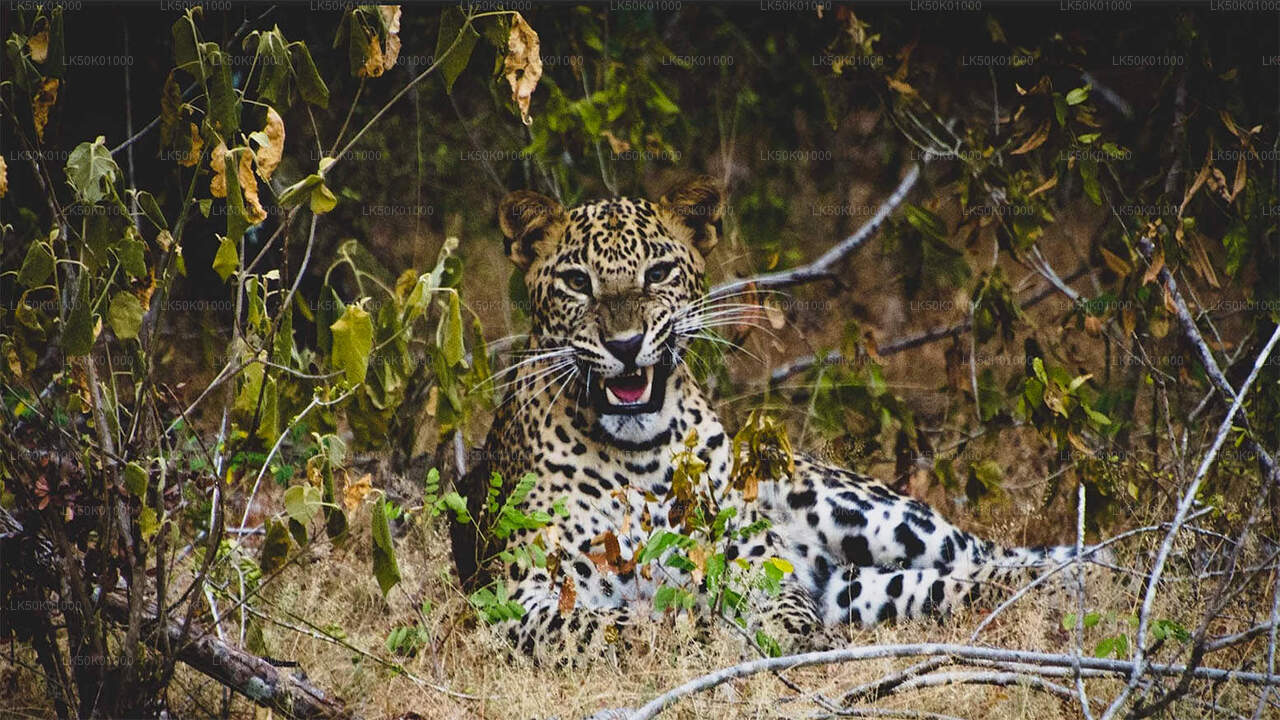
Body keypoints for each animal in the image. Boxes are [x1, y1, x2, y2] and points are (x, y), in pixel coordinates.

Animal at [449, 176, 1110, 662]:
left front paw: (777, 635)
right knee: (950, 580)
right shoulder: (515, 598)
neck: (642, 457)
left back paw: (1103, 572)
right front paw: (689, 631)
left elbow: (777, 606)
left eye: (657, 273)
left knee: (987, 552)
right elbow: (607, 627)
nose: (626, 343)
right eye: (576, 281)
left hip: (862, 512)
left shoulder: (753, 564)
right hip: (860, 585)